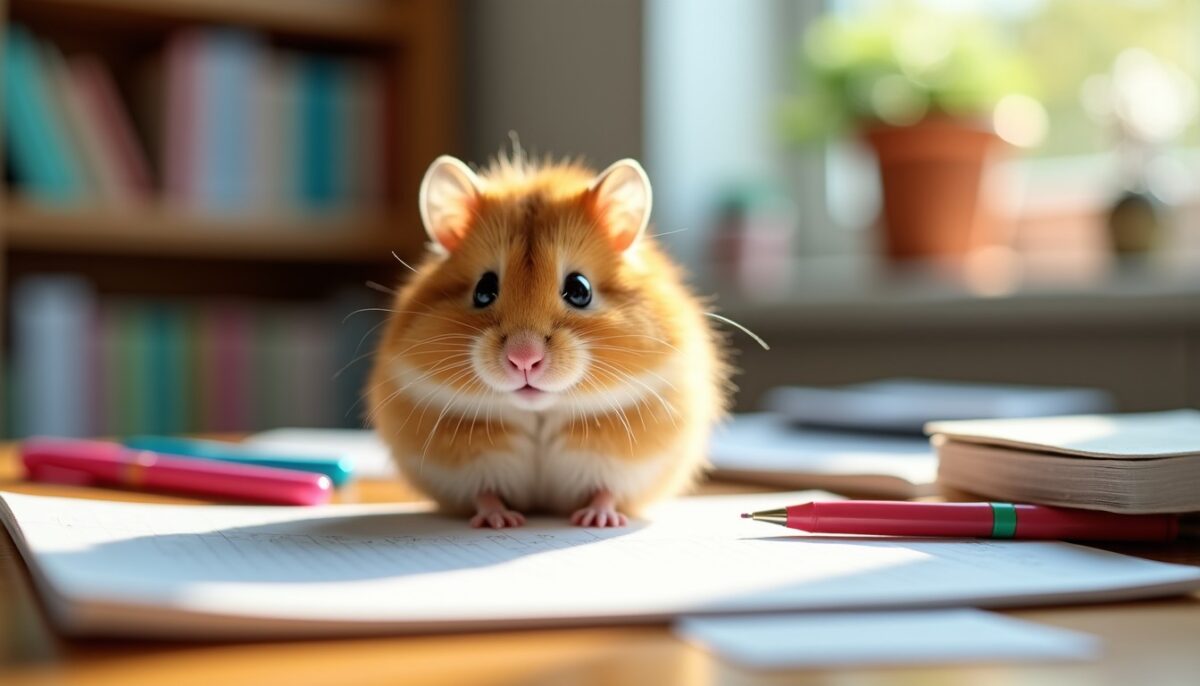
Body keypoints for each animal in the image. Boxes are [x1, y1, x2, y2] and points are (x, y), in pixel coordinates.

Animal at [367, 153, 729, 528]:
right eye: (483, 290)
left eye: (580, 289)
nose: (524, 359)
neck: (538, 412)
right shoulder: (469, 468)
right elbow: (485, 494)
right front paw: (501, 521)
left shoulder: (621, 463)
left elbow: (605, 491)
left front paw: (596, 520)